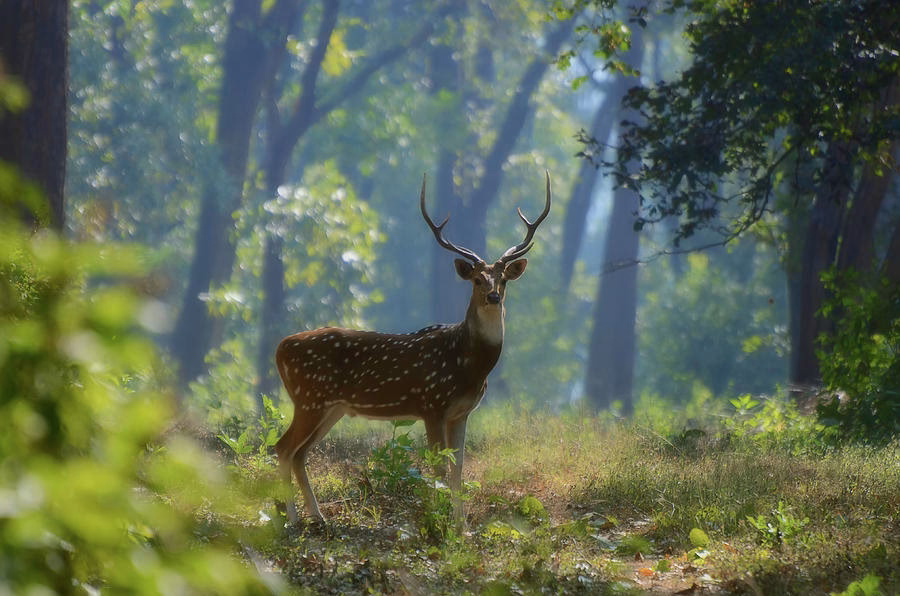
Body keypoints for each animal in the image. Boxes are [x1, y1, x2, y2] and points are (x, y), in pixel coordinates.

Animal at [274, 172, 551, 523]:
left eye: (503, 280)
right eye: (477, 279)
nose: (493, 297)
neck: (470, 365)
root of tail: (280, 347)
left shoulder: (462, 412)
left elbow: (458, 469)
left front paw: (460, 524)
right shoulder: (431, 404)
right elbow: (439, 469)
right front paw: (439, 520)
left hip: (330, 407)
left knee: (299, 453)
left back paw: (318, 517)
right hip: (309, 398)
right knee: (283, 448)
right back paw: (293, 519)